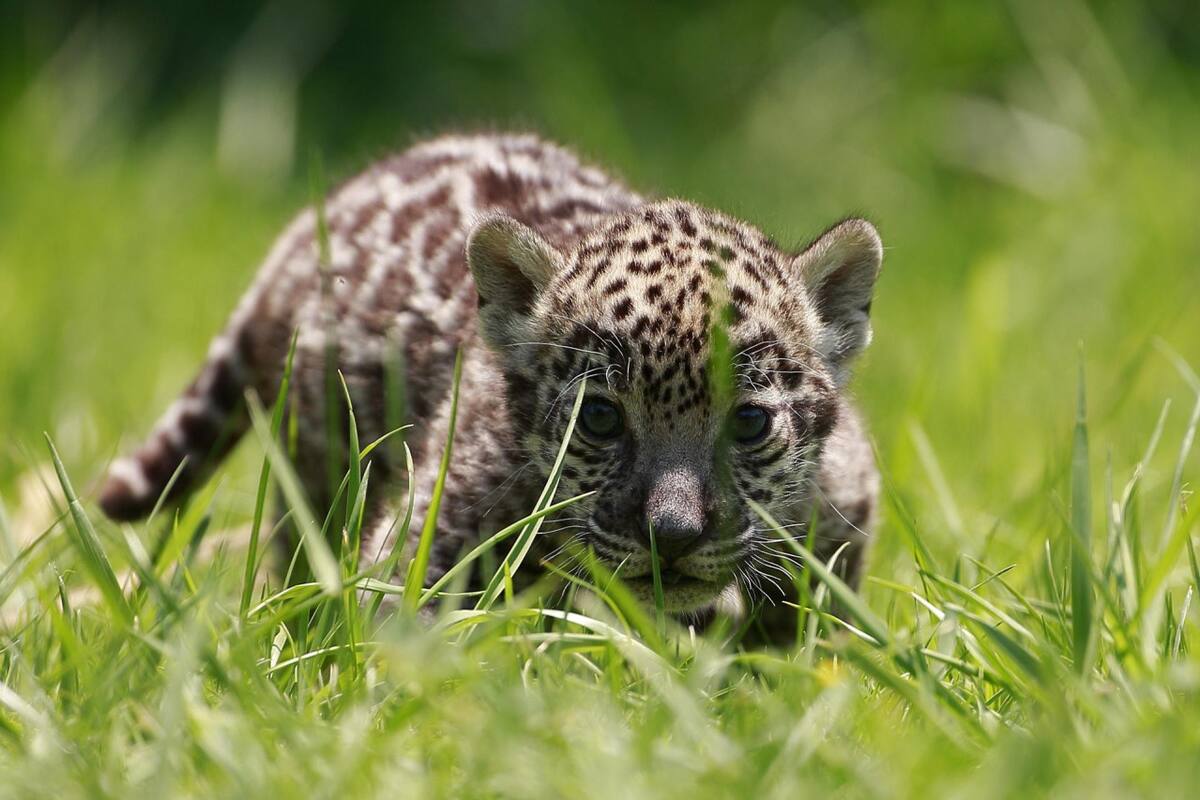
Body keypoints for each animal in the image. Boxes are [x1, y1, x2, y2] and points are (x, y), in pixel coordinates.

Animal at [98, 132, 882, 634]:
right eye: (599, 420)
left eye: (749, 423)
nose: (673, 535)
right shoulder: (427, 539)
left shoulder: (843, 504)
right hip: (317, 472)